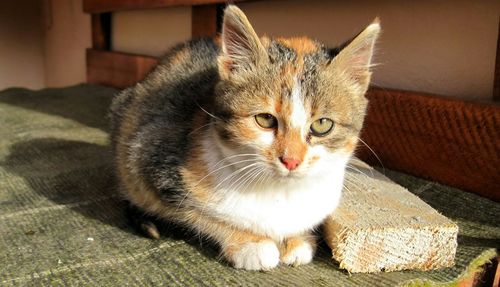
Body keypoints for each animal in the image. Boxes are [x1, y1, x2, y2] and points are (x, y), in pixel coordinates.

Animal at [109, 4, 378, 272]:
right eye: (266, 119)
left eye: (322, 125)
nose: (291, 161)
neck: (279, 192)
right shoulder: (149, 157)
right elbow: (197, 214)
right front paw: (249, 243)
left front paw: (298, 239)